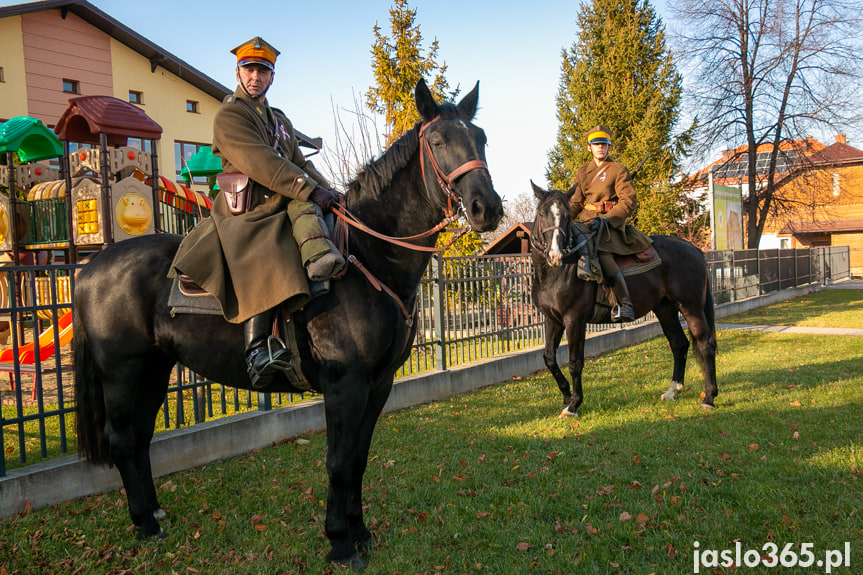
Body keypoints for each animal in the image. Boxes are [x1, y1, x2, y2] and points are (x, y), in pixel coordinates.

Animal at [76, 80, 506, 572]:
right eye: (436, 141)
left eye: (482, 138)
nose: (487, 208)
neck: (367, 256)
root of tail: (92, 266)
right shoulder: (345, 384)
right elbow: (339, 462)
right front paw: (340, 542)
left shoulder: (378, 384)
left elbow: (359, 458)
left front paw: (360, 533)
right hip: (122, 372)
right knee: (122, 439)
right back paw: (144, 524)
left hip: (154, 369)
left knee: (140, 438)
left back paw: (152, 512)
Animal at [528, 182, 720, 416]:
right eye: (542, 214)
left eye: (566, 216)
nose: (555, 255)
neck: (557, 272)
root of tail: (693, 248)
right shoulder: (553, 320)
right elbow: (549, 358)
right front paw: (566, 395)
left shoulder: (574, 319)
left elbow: (574, 362)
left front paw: (573, 404)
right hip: (665, 309)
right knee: (679, 344)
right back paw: (672, 391)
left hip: (691, 307)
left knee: (705, 344)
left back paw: (709, 398)